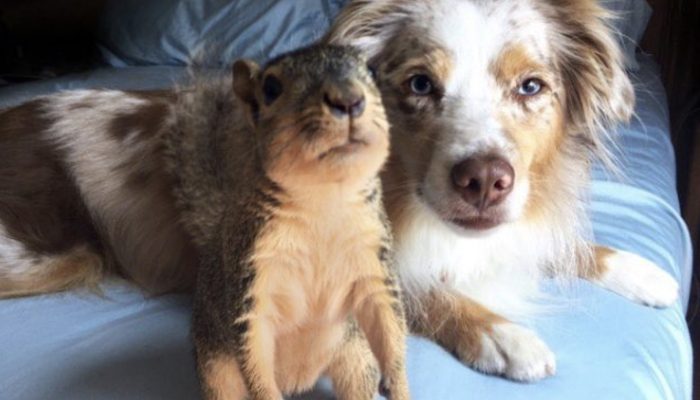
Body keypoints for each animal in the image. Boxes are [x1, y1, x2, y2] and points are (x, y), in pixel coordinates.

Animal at [165, 45, 409, 400]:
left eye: (374, 72)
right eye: (270, 88)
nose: (348, 98)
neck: (323, 196)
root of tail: (299, 381)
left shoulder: (373, 261)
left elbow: (388, 321)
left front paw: (399, 383)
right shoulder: (251, 273)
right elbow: (253, 346)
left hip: (356, 358)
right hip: (217, 371)